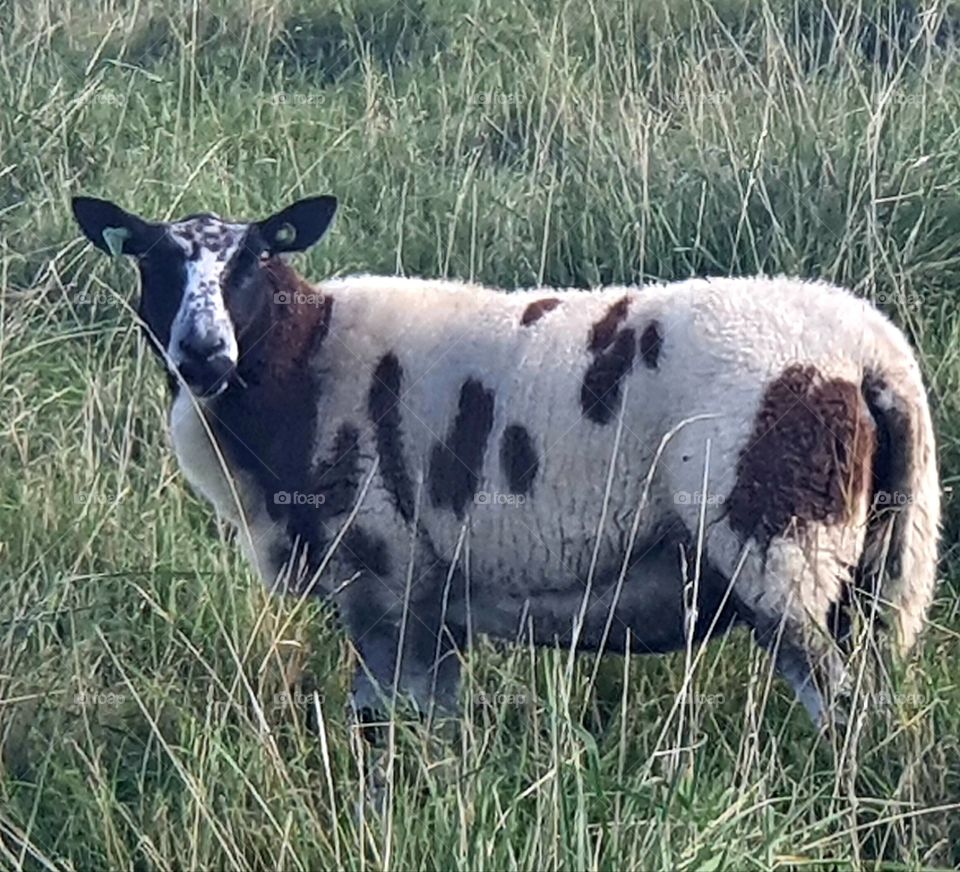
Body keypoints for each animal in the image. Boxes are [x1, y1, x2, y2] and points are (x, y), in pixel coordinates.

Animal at [71, 193, 940, 727]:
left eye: (250, 260)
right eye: (152, 262)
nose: (202, 355)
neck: (303, 362)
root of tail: (872, 353)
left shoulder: (384, 583)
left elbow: (384, 733)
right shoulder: (433, 603)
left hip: (783, 550)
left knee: (845, 712)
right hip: (872, 564)